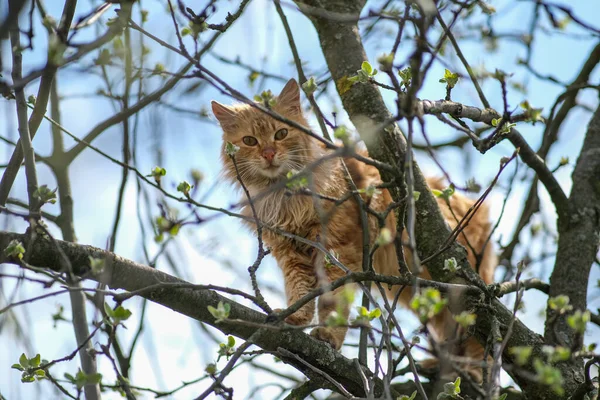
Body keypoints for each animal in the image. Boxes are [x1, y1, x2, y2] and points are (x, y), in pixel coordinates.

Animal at [213, 79, 494, 382]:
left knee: (482, 342)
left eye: (281, 133)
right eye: (250, 141)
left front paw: (328, 337)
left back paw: (473, 373)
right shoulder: (291, 255)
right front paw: (294, 319)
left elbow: (332, 304)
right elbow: (299, 294)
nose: (268, 154)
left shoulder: (338, 252)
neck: (285, 197)